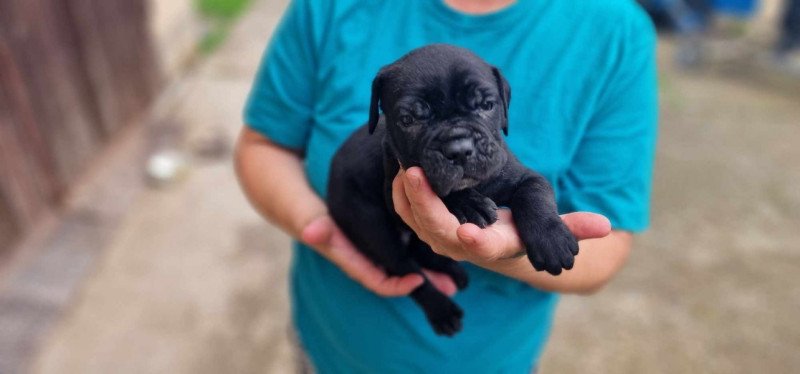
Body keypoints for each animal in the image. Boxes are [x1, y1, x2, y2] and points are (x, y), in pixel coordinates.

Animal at [328, 43, 580, 336]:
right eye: (408, 119)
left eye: (486, 105)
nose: (459, 149)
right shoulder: (394, 195)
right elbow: (442, 191)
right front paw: (468, 204)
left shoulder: (523, 175)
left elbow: (534, 195)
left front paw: (551, 240)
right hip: (370, 226)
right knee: (407, 269)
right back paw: (442, 310)